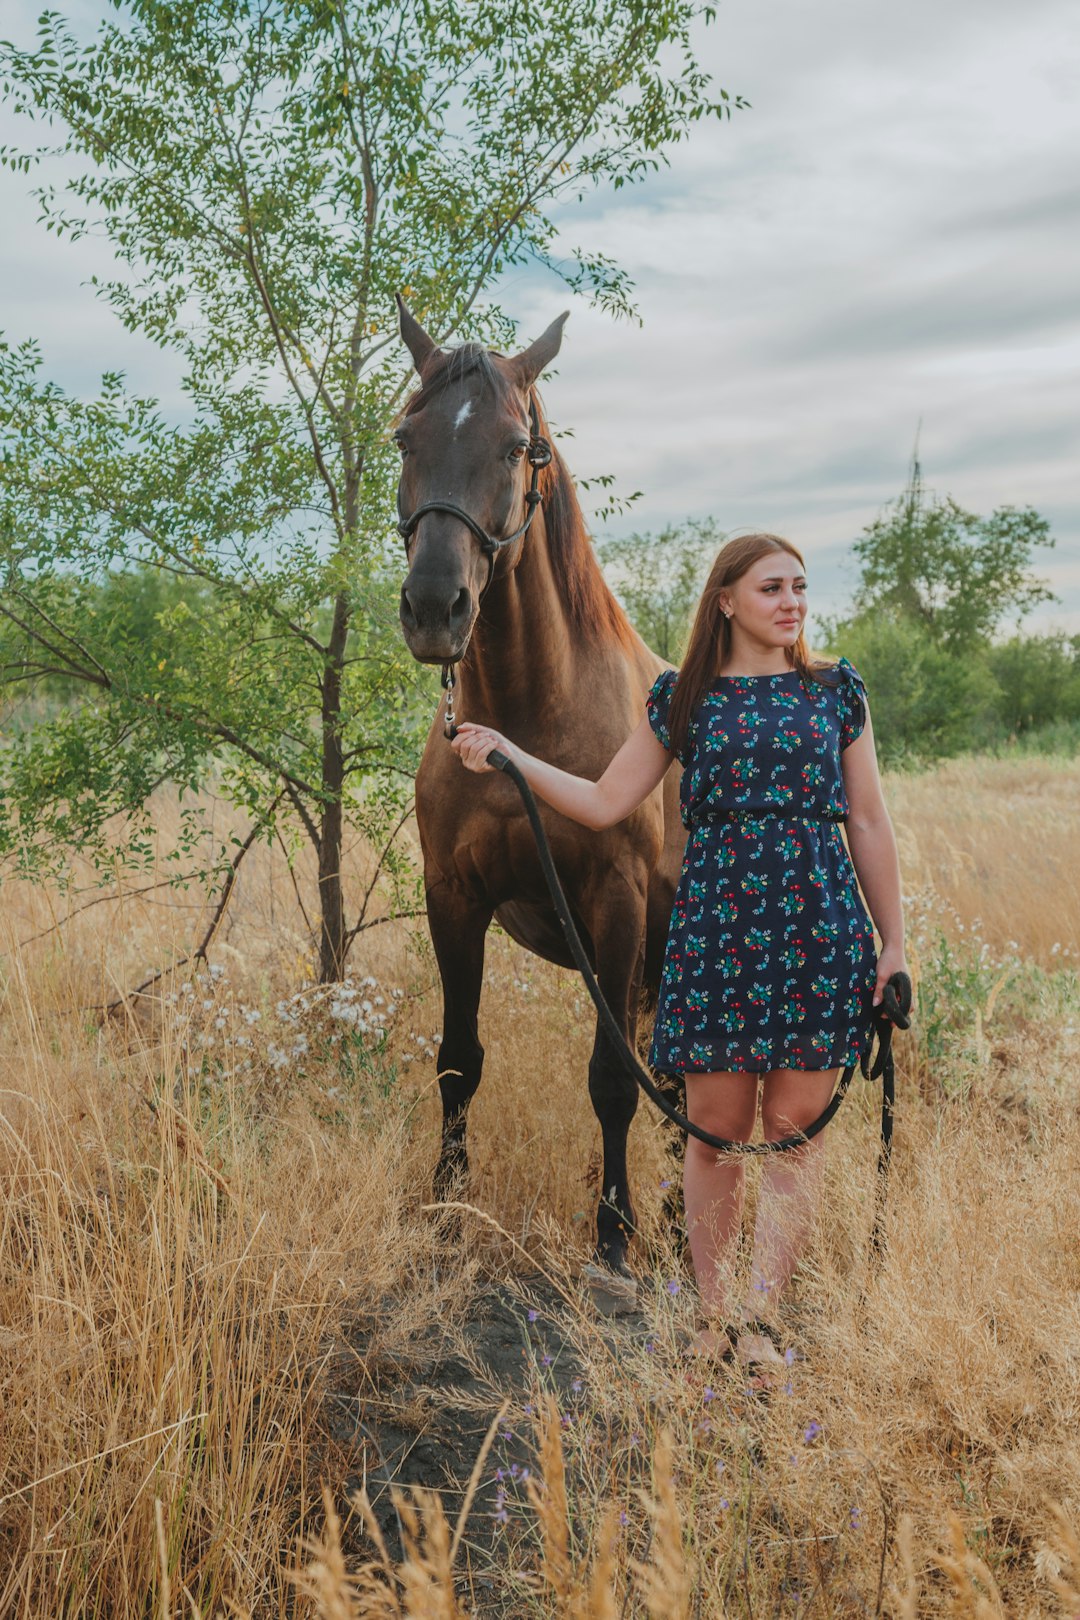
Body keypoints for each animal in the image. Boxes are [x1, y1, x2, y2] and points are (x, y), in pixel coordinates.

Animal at [395, 298, 683, 1270]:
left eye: (521, 446)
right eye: (404, 435)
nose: (434, 607)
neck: (526, 729)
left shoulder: (615, 902)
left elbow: (612, 1082)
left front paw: (614, 1235)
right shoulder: (453, 895)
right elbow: (458, 1058)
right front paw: (446, 1207)